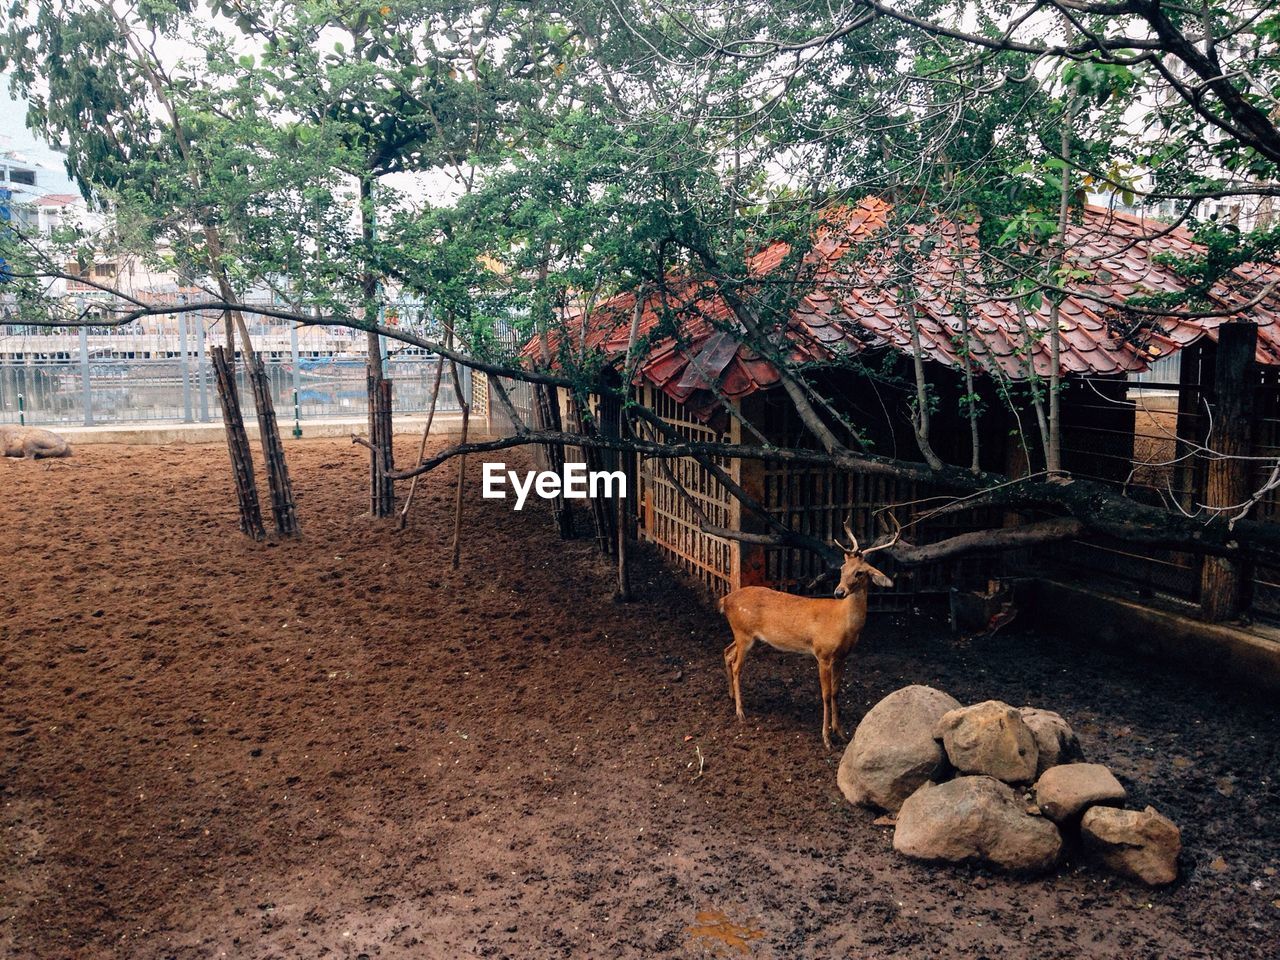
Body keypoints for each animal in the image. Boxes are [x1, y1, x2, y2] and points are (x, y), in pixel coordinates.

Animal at [721, 519, 901, 752]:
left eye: (860, 572)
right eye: (843, 568)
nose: (839, 592)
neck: (842, 624)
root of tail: (725, 600)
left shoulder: (843, 656)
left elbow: (836, 692)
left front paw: (841, 733)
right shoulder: (822, 653)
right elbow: (825, 694)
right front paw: (826, 739)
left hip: (743, 634)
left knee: (727, 652)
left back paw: (731, 696)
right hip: (744, 633)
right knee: (736, 666)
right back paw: (740, 712)